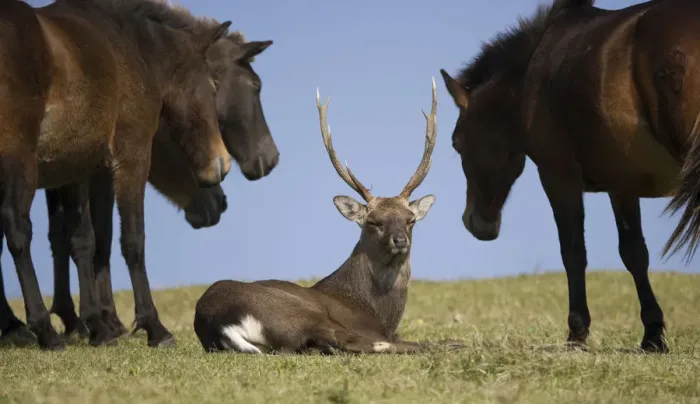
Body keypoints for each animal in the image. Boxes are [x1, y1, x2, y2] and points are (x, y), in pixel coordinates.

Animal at [0, 0, 231, 350]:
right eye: (214, 85)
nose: (221, 165)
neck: (130, 47)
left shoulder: (78, 168)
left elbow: (84, 239)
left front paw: (96, 325)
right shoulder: (131, 156)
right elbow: (132, 240)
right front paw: (153, 327)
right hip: (19, 161)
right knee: (17, 230)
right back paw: (43, 330)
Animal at [193, 78, 459, 354]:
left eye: (411, 220)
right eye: (373, 221)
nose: (399, 240)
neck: (377, 313)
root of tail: (218, 323)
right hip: (297, 311)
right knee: (358, 342)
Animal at [440, 0, 700, 353]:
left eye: (456, 142)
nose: (475, 223)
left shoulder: (558, 176)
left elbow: (573, 251)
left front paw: (577, 332)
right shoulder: (622, 182)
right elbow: (634, 253)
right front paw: (652, 334)